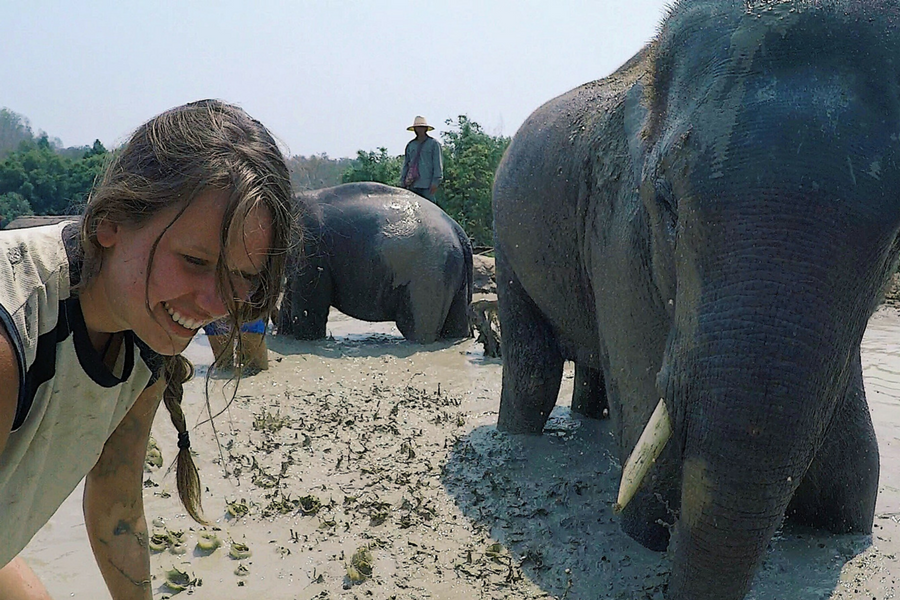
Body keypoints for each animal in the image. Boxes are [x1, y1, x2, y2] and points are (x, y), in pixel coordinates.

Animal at [278, 182, 474, 342]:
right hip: (451, 269)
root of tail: (458, 230)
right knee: (456, 324)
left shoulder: (311, 248)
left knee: (418, 329)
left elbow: (308, 313)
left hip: (429, 273)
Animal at [492, 2, 900, 596]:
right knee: (531, 372)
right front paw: (645, 525)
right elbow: (647, 486)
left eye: (895, 240)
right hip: (505, 240)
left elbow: (854, 482)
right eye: (667, 205)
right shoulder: (618, 234)